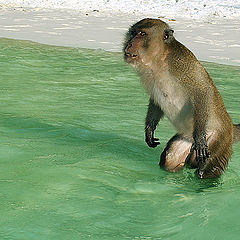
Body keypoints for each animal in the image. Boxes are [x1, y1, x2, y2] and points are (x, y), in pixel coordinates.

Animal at [124, 18, 240, 178]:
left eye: (142, 34)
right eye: (132, 33)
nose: (129, 44)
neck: (159, 60)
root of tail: (231, 127)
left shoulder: (182, 64)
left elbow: (202, 90)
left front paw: (199, 137)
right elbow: (155, 100)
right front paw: (149, 130)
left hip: (220, 139)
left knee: (206, 170)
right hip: (186, 139)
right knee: (170, 160)